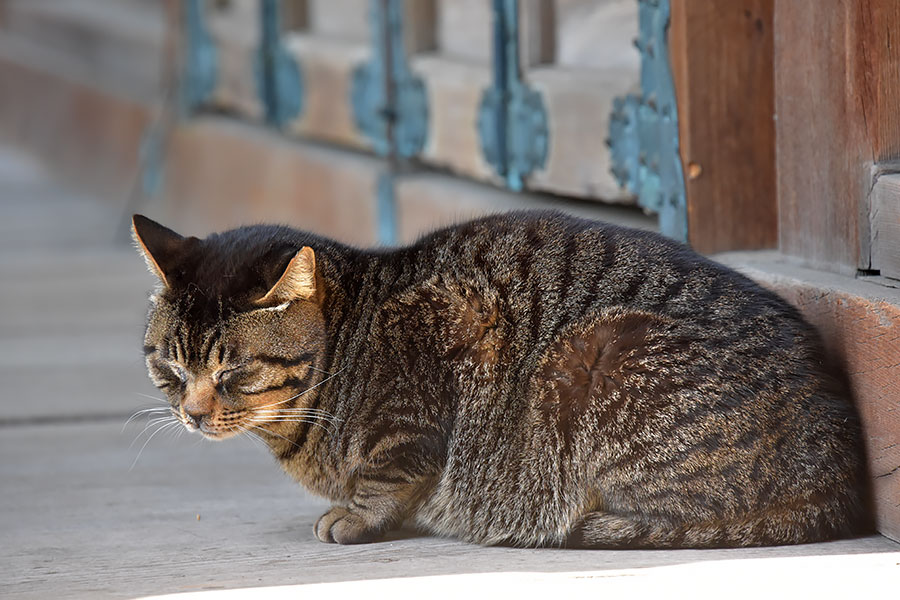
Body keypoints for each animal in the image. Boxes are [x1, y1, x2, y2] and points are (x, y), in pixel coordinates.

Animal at [134, 211, 872, 548]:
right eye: (170, 367)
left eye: (232, 370)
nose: (192, 413)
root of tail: (842, 479)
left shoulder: (425, 389)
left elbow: (388, 474)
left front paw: (358, 514)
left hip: (596, 355)